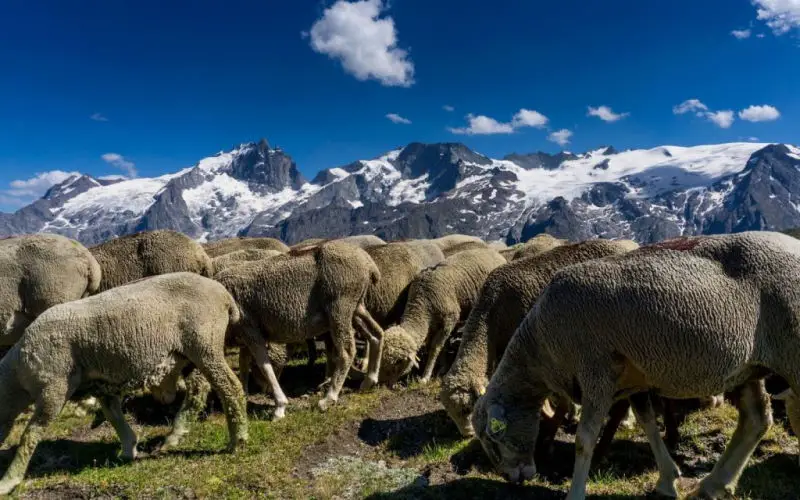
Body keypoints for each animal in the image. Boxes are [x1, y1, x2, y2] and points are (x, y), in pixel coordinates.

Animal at [0, 272, 247, 494]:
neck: (17, 376)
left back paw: (238, 440)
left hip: (204, 344)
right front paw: (129, 448)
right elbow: (113, 415)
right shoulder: (101, 384)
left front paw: (9, 481)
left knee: (230, 387)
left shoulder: (54, 388)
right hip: (187, 355)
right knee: (199, 389)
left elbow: (30, 434)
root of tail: (224, 295)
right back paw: (178, 433)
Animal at [214, 240, 386, 416]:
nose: (263, 390)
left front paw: (280, 406)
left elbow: (264, 366)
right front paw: (243, 394)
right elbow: (243, 363)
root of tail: (368, 262)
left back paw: (328, 398)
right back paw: (369, 380)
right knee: (376, 334)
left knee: (346, 351)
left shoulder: (250, 330)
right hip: (356, 307)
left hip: (339, 308)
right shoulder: (245, 336)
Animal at [376, 248, 504, 384]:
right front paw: (443, 366)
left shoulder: (449, 319)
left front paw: (426, 376)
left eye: (397, 362)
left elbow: (435, 348)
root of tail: (494, 252)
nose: (381, 384)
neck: (423, 303)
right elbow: (440, 345)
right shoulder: (434, 325)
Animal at [472, 231, 800, 500]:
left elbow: (584, 439)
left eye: (493, 439)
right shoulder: (634, 379)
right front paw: (668, 480)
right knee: (756, 419)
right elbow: (648, 424)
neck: (540, 347)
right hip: (749, 366)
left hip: (790, 352)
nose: (513, 479)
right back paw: (712, 485)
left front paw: (575, 493)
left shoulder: (596, 370)